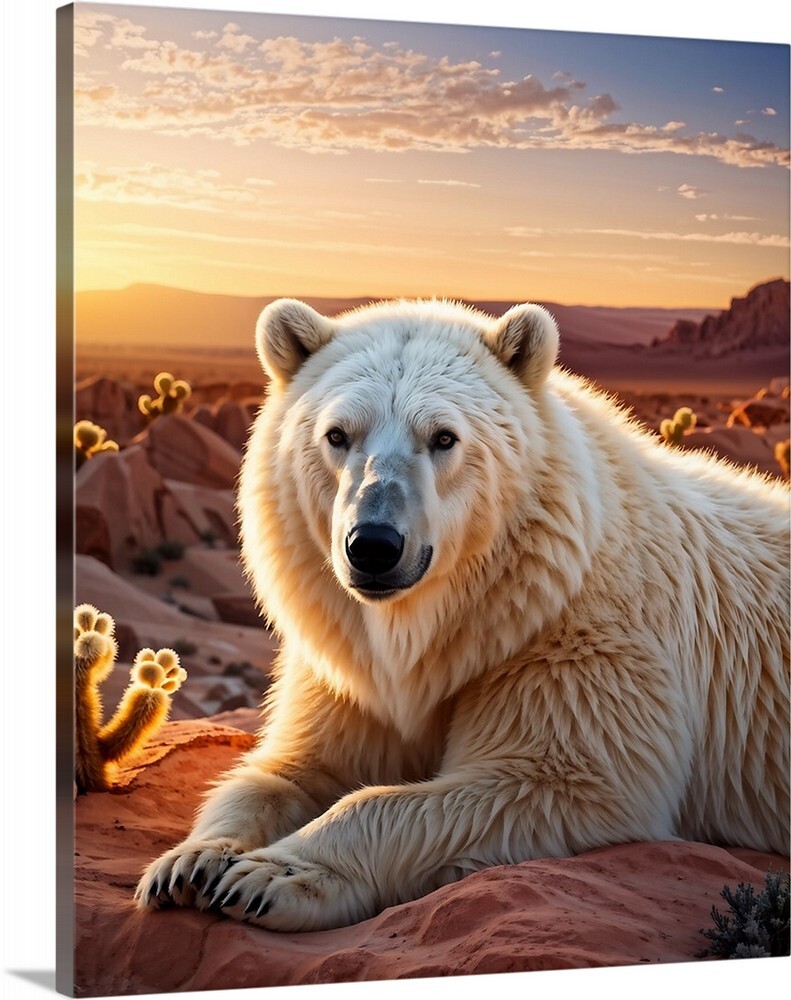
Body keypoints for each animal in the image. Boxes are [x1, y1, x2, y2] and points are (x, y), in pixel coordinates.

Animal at [136, 297, 790, 932]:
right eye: (337, 434)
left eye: (444, 437)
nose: (373, 545)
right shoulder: (350, 667)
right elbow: (290, 768)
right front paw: (190, 863)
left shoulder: (575, 644)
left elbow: (562, 779)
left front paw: (268, 877)